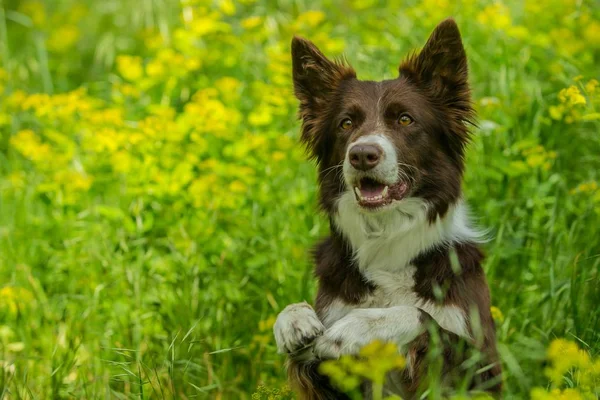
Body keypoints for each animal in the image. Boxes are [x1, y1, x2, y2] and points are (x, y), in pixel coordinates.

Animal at [274, 17, 504, 398]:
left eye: (405, 119)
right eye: (346, 123)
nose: (362, 154)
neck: (387, 239)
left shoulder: (483, 367)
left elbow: (418, 314)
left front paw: (356, 328)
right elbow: (297, 321)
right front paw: (294, 321)